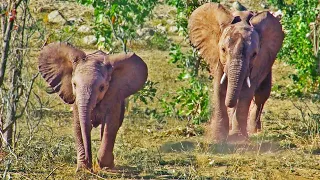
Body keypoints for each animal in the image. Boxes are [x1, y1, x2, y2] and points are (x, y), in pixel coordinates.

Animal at [38, 42, 148, 170]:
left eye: (102, 87)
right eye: (74, 84)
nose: (89, 161)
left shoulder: (113, 96)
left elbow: (110, 126)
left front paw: (105, 166)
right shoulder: (76, 101)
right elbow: (78, 126)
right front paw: (82, 168)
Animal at [189, 2, 284, 141]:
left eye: (254, 54)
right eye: (223, 49)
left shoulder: (259, 62)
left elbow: (246, 92)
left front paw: (238, 138)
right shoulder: (217, 58)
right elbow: (219, 88)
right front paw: (218, 137)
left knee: (262, 94)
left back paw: (255, 131)